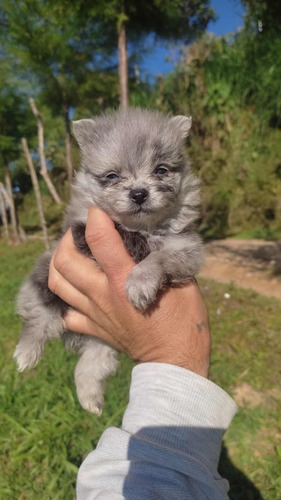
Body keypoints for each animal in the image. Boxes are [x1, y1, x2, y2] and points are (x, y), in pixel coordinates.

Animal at [14, 108, 202, 414]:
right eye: (112, 176)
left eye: (161, 170)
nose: (139, 193)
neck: (142, 226)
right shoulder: (80, 234)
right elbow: (121, 233)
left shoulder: (186, 249)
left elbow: (157, 257)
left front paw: (140, 283)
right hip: (42, 282)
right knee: (39, 319)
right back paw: (26, 353)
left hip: (102, 344)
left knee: (89, 368)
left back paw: (91, 402)